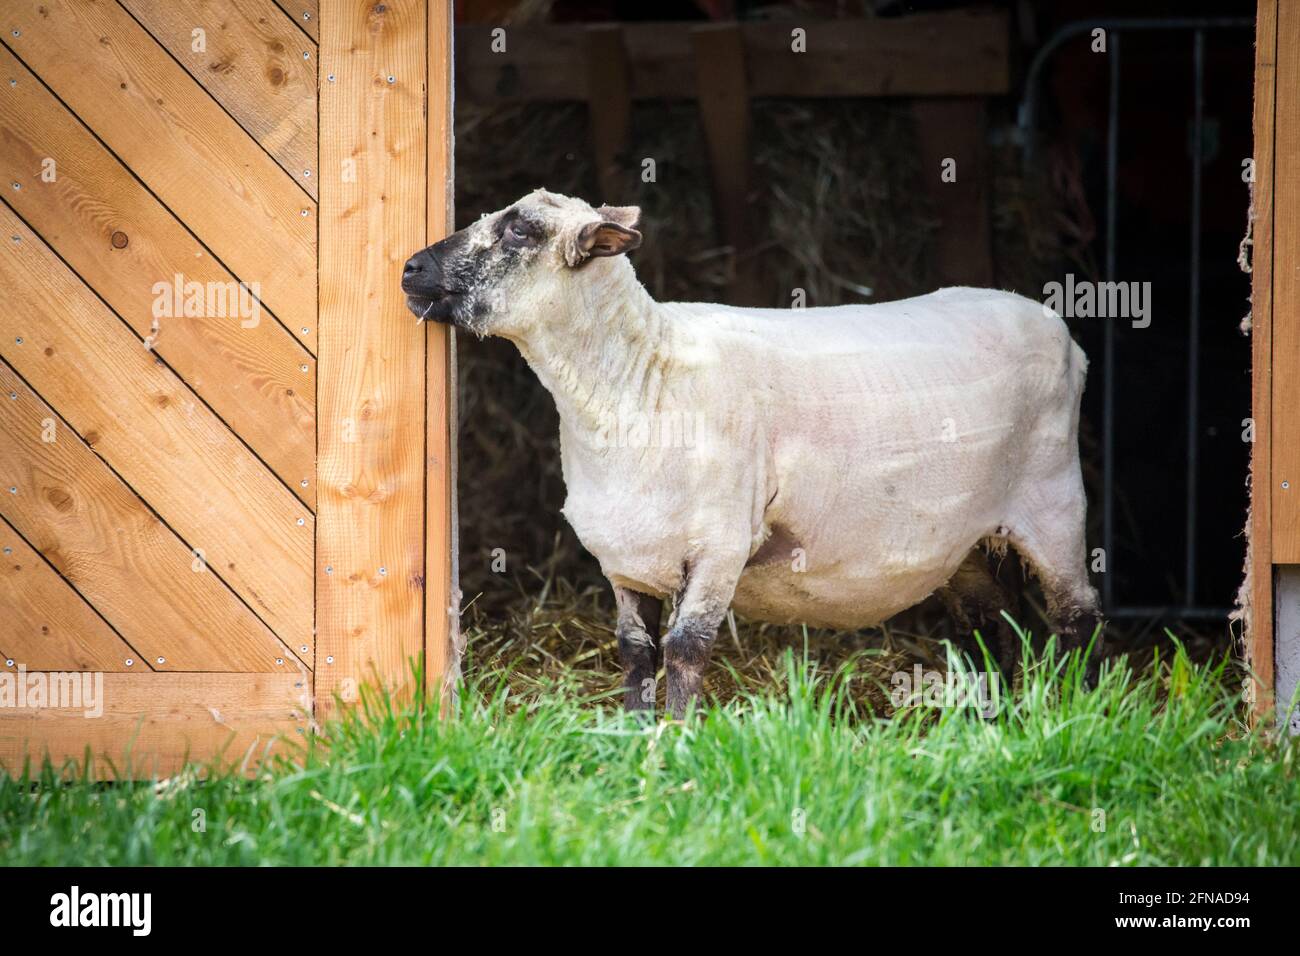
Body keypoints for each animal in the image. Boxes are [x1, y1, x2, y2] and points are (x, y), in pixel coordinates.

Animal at [403, 189, 1102, 717]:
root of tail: (1057, 329)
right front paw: (634, 739)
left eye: (520, 230)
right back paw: (989, 723)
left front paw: (676, 739)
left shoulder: (720, 544)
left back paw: (1082, 713)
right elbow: (635, 652)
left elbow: (686, 648)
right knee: (990, 627)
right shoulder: (626, 559)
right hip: (966, 535)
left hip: (1055, 500)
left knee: (1078, 617)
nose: (410, 268)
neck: (641, 377)